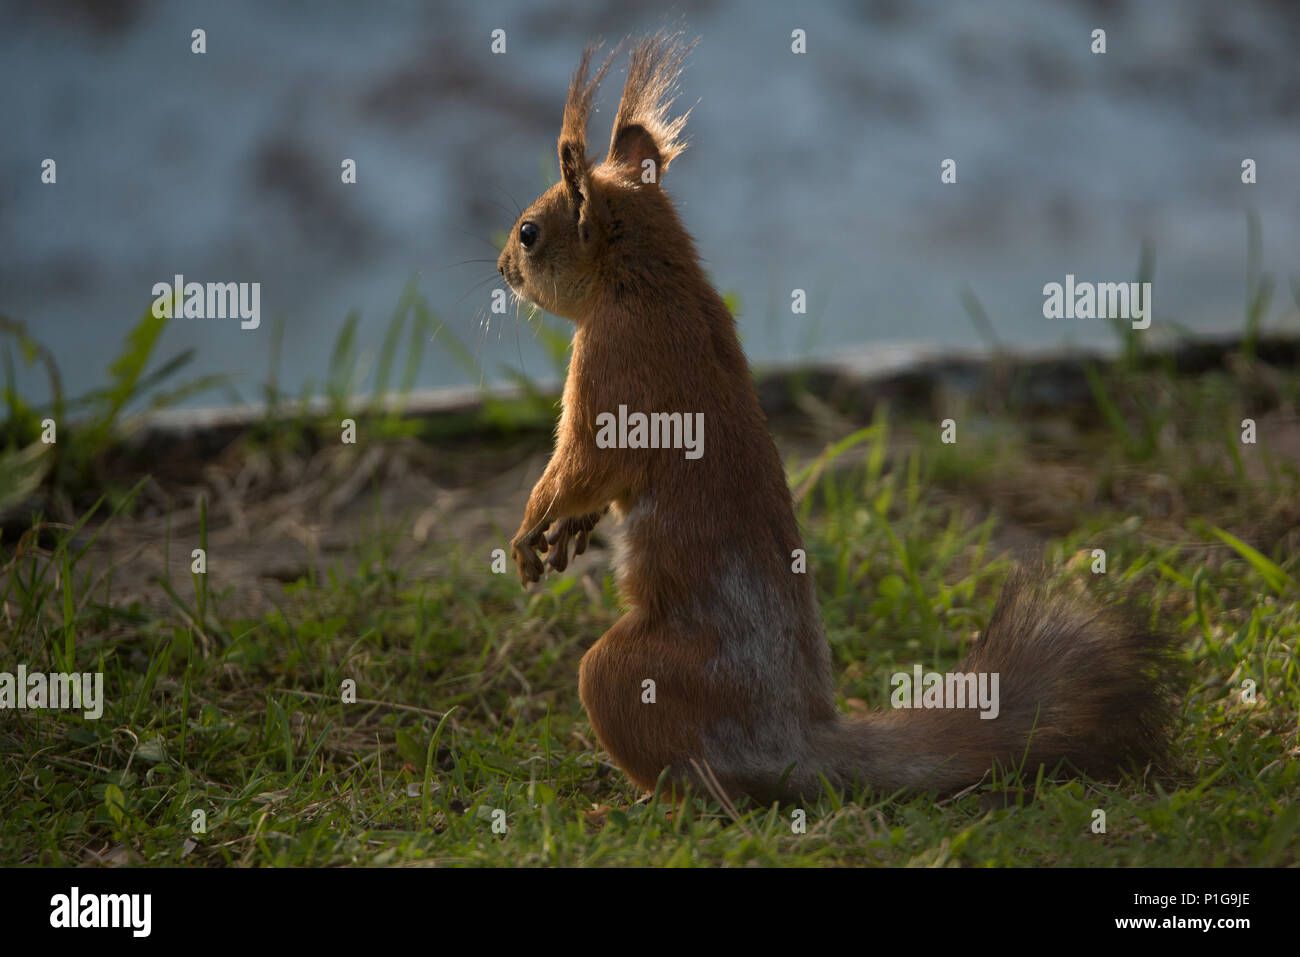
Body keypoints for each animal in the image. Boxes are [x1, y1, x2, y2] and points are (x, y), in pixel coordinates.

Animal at [496, 33, 1180, 806]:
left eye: (530, 232)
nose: (501, 268)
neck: (647, 279)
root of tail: (796, 741)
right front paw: (567, 531)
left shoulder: (614, 372)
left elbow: (581, 462)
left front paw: (532, 526)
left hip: (627, 672)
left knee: (695, 765)